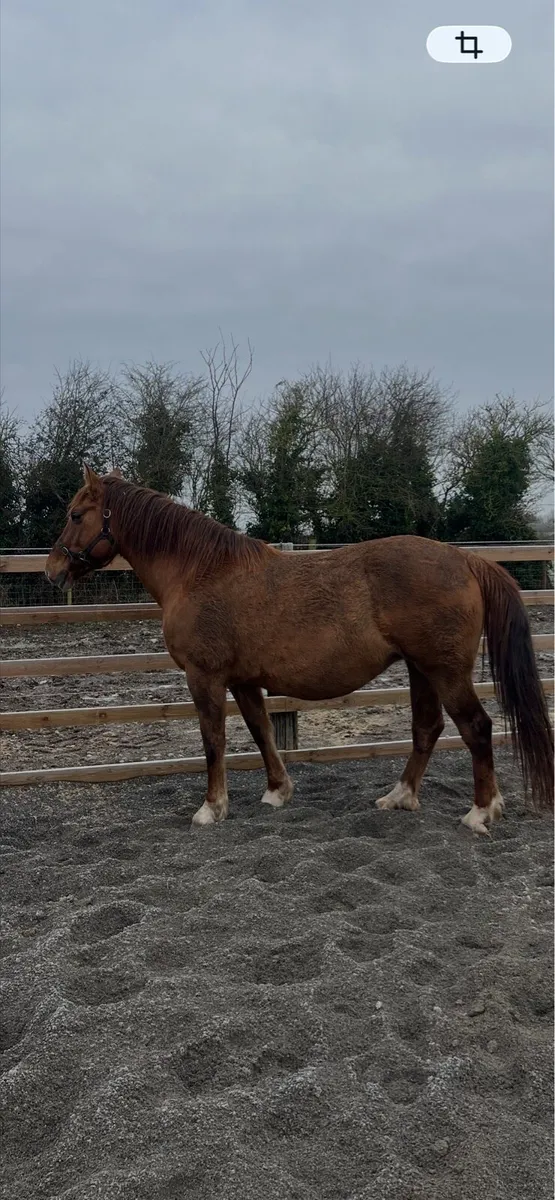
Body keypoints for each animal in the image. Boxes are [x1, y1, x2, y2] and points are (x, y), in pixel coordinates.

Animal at [45, 465, 553, 833]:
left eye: (75, 515)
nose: (52, 571)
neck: (199, 571)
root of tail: (465, 558)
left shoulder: (204, 676)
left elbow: (214, 740)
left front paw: (212, 808)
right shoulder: (244, 680)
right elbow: (261, 732)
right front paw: (277, 791)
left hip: (444, 671)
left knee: (477, 728)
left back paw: (480, 812)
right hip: (421, 670)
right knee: (427, 729)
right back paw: (401, 797)